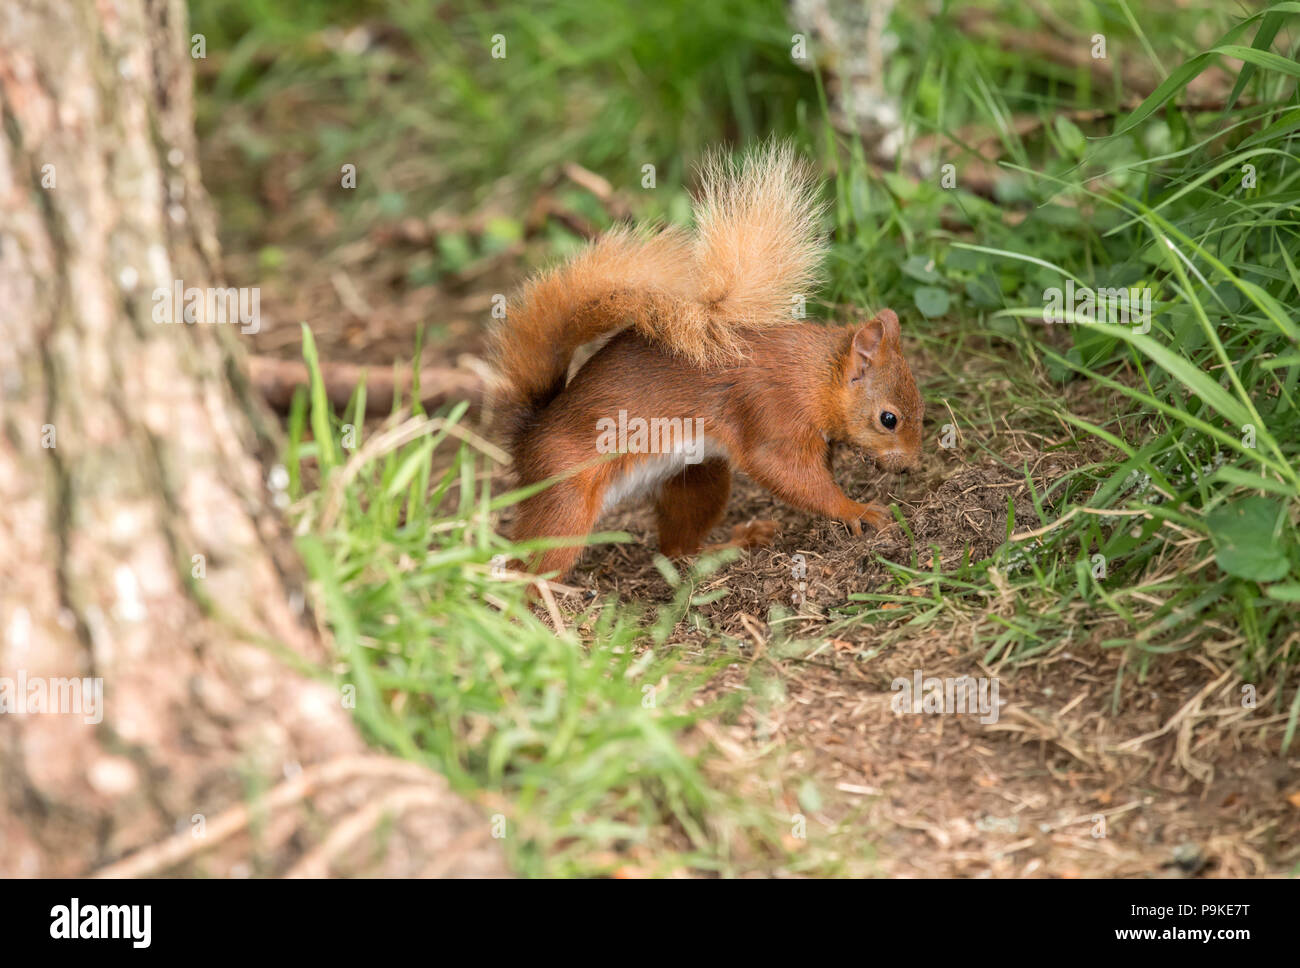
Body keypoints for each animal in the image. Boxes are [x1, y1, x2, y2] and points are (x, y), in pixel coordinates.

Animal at [491, 141, 923, 580]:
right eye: (889, 419)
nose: (910, 467)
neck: (815, 376)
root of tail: (529, 435)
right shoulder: (772, 410)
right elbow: (789, 474)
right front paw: (857, 509)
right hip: (566, 496)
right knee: (534, 562)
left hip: (698, 477)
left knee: (677, 548)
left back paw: (736, 542)